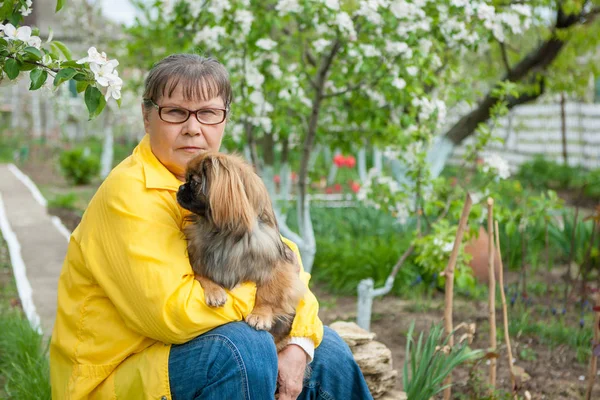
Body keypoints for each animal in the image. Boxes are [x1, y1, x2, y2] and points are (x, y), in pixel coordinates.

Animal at [175, 151, 304, 350]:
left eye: (194, 182)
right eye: (186, 179)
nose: (181, 187)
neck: (223, 235)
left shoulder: (280, 270)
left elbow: (268, 293)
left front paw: (260, 315)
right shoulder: (199, 262)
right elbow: (203, 277)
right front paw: (215, 292)